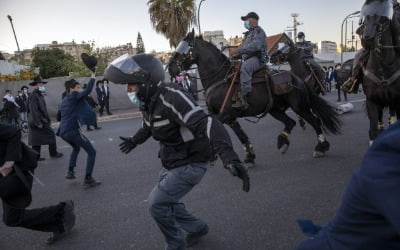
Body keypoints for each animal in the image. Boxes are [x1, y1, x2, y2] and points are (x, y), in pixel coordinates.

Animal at [168, 30, 340, 165]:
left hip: (300, 107)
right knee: (290, 122)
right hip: (275, 110)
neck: (220, 78)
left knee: (314, 121)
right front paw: (250, 156)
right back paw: (282, 142)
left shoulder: (224, 115)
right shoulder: (230, 117)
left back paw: (321, 147)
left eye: (184, 47)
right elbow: (242, 136)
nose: (170, 67)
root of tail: (298, 79)